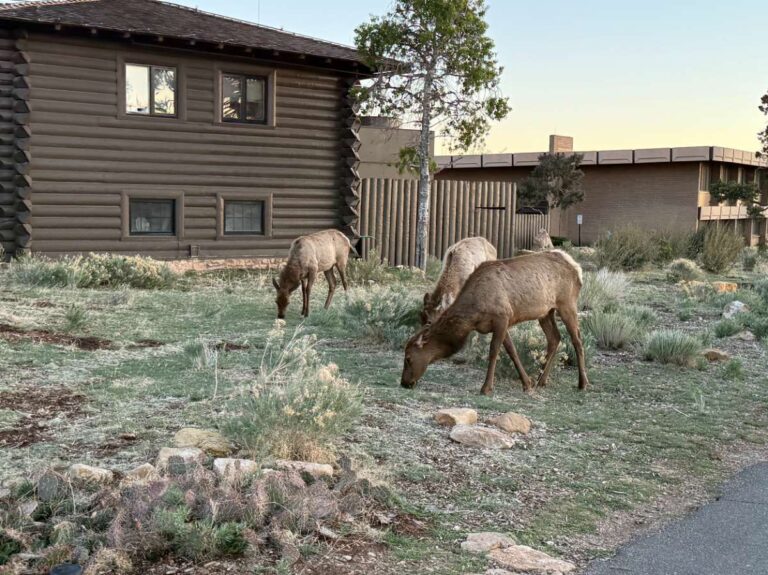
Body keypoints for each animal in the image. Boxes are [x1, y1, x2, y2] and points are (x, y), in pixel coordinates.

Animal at [401, 250, 589, 395]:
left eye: (408, 358)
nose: (404, 383)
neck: (472, 317)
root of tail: (577, 268)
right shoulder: (502, 322)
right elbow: (512, 351)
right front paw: (527, 383)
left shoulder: (502, 317)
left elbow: (494, 352)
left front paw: (486, 388)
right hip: (546, 312)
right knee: (554, 338)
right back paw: (540, 380)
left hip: (567, 303)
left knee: (577, 340)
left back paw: (583, 383)